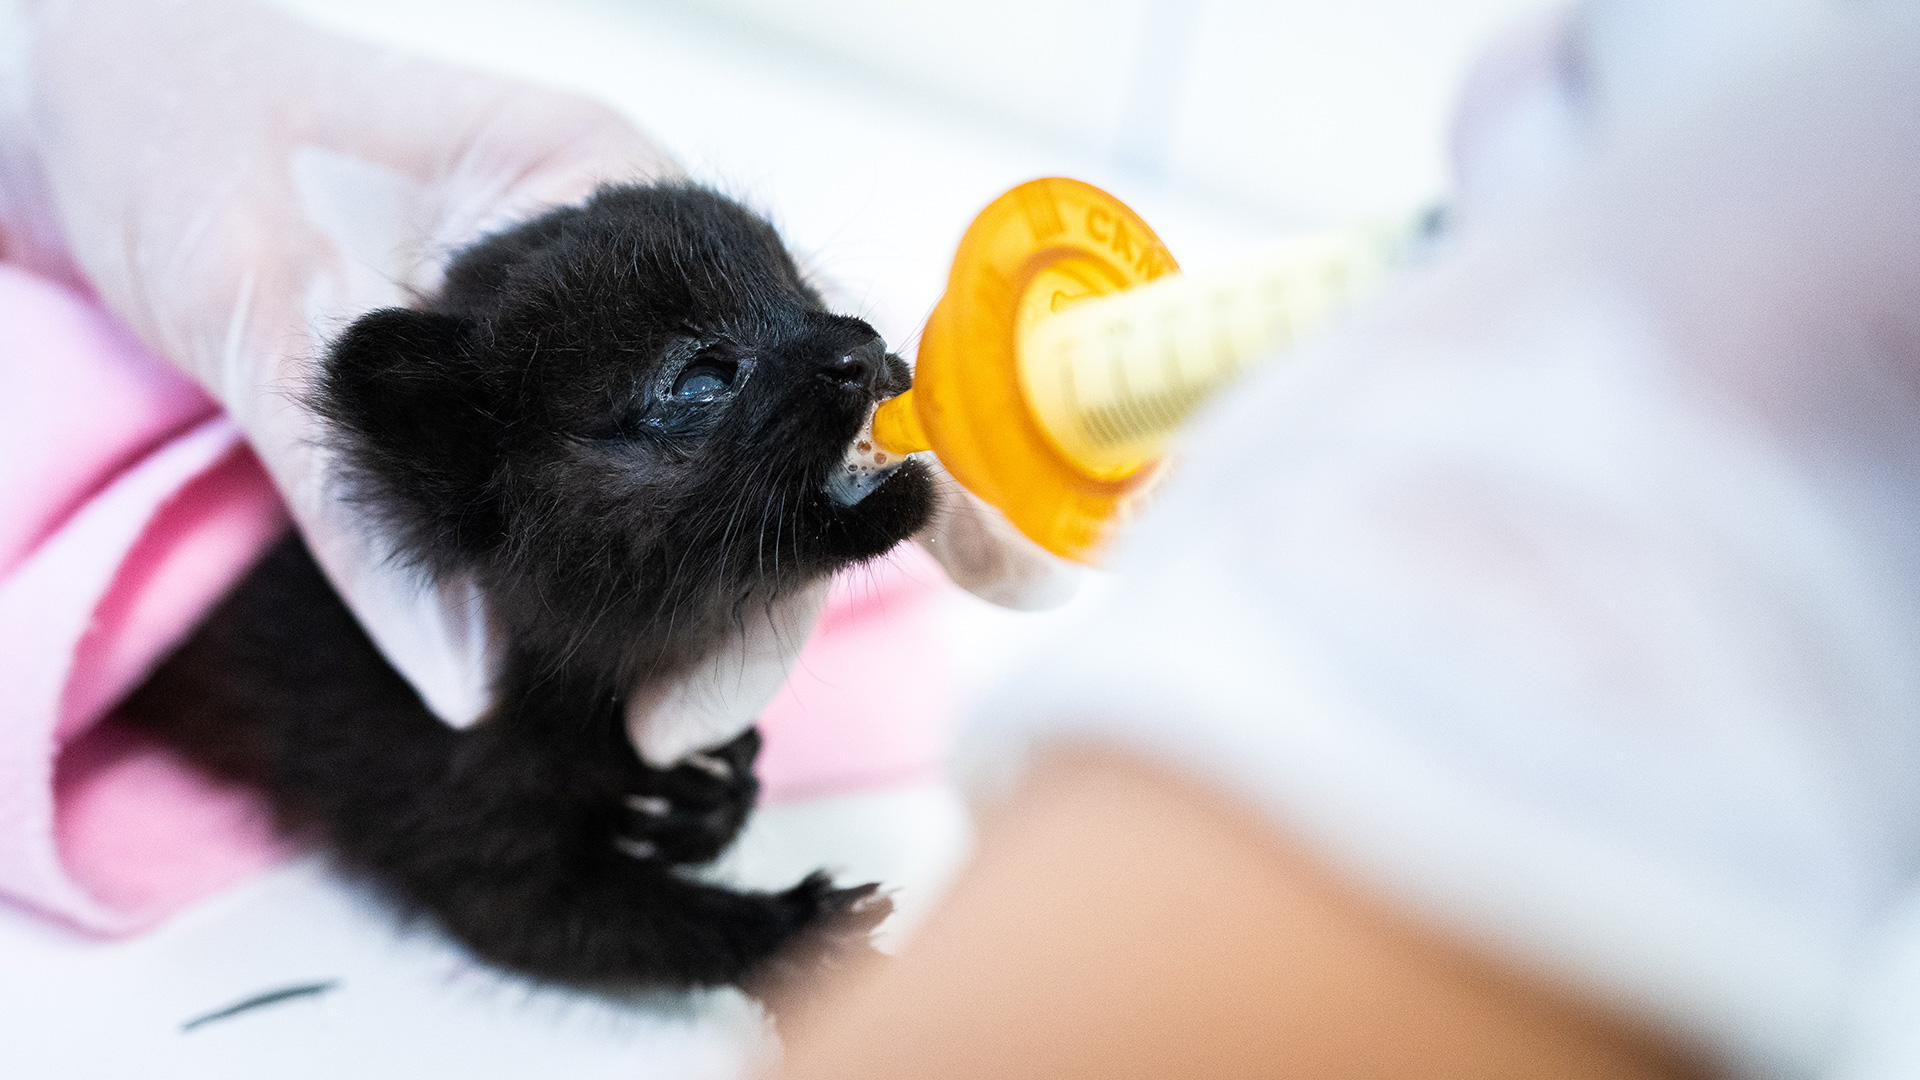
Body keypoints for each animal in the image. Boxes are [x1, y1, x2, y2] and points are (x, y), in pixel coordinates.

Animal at [118, 182, 929, 991]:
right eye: (701, 378)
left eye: (802, 294)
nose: (862, 350)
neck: (574, 675)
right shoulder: (469, 830)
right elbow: (639, 924)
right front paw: (800, 937)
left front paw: (703, 798)